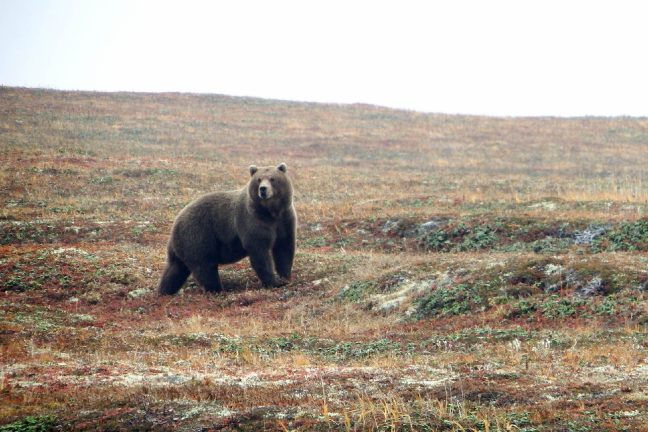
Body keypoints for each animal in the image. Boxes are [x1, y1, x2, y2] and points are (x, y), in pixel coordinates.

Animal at [159, 164, 296, 296]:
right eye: (259, 179)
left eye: (272, 179)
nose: (263, 189)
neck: (271, 212)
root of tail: (176, 222)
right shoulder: (252, 220)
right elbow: (260, 251)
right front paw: (274, 282)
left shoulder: (285, 220)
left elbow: (284, 248)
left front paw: (285, 277)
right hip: (197, 235)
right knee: (205, 267)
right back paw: (217, 290)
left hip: (182, 245)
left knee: (175, 269)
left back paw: (164, 291)